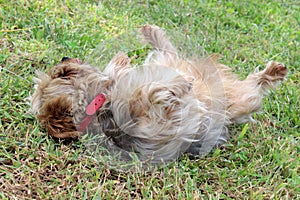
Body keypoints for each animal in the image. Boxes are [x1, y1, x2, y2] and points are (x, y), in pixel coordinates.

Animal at [31, 24, 288, 162]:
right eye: (63, 73)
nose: (64, 58)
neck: (104, 103)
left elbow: (127, 73)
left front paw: (122, 62)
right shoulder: (152, 125)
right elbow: (152, 96)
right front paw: (175, 88)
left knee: (166, 50)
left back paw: (151, 32)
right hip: (241, 100)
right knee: (255, 85)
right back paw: (274, 72)